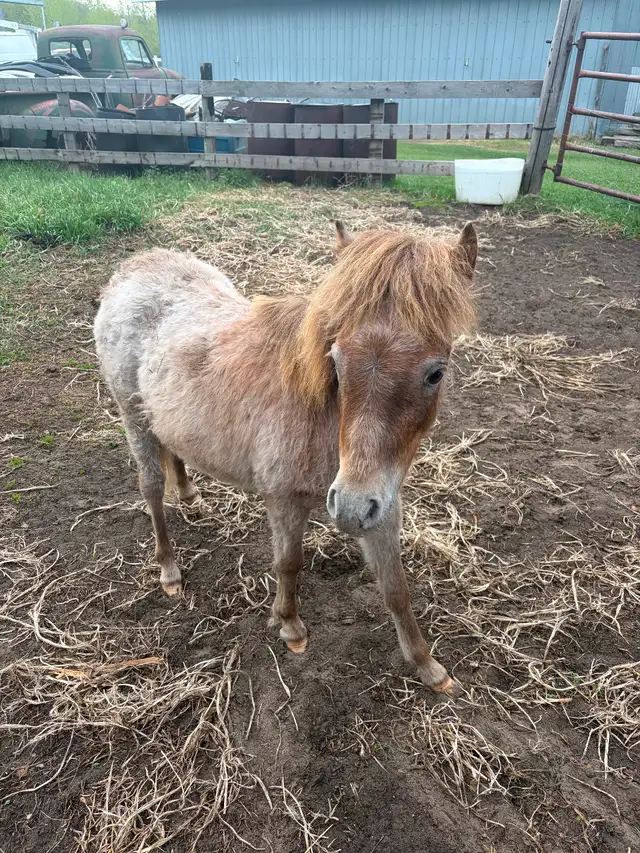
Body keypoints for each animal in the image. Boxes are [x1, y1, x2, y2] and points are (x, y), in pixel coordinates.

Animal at [93, 220, 477, 696]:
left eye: (436, 373)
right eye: (336, 361)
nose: (350, 508)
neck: (326, 421)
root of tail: (135, 267)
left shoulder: (381, 504)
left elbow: (395, 588)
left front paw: (428, 667)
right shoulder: (285, 500)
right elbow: (289, 563)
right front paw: (290, 625)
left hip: (161, 417)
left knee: (173, 452)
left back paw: (190, 496)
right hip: (132, 415)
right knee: (150, 488)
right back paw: (169, 571)